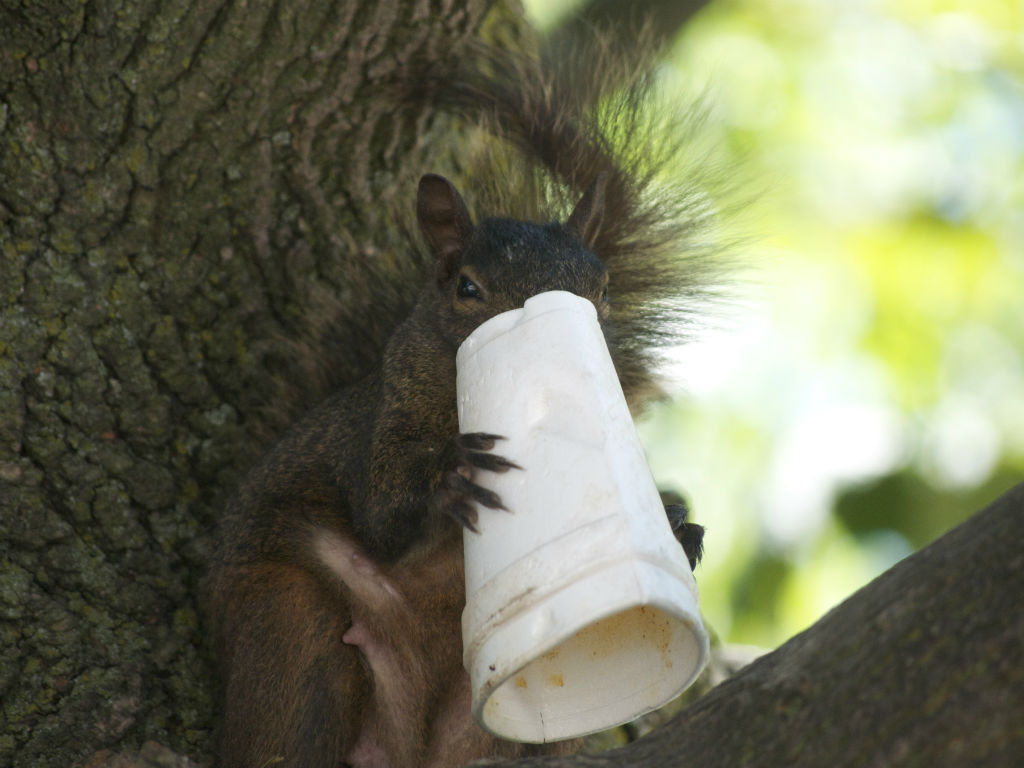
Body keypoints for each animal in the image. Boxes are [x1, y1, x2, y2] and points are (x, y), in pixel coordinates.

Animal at [203, 30, 720, 768]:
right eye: (467, 289)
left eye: (605, 292)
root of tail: (401, 747)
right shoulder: (380, 421)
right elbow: (382, 512)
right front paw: (451, 471)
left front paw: (678, 525)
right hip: (289, 622)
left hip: (502, 718)